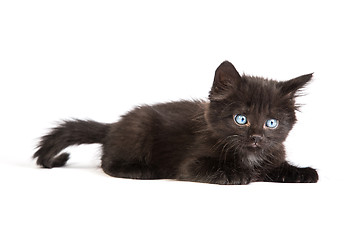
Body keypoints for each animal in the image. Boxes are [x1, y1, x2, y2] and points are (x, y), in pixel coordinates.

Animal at [34, 61, 318, 184]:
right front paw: (239, 173)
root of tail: (113, 126)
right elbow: (218, 168)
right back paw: (142, 170)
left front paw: (301, 172)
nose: (257, 138)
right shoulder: (190, 165)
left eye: (271, 123)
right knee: (107, 163)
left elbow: (275, 167)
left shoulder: (272, 155)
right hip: (140, 127)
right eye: (241, 119)